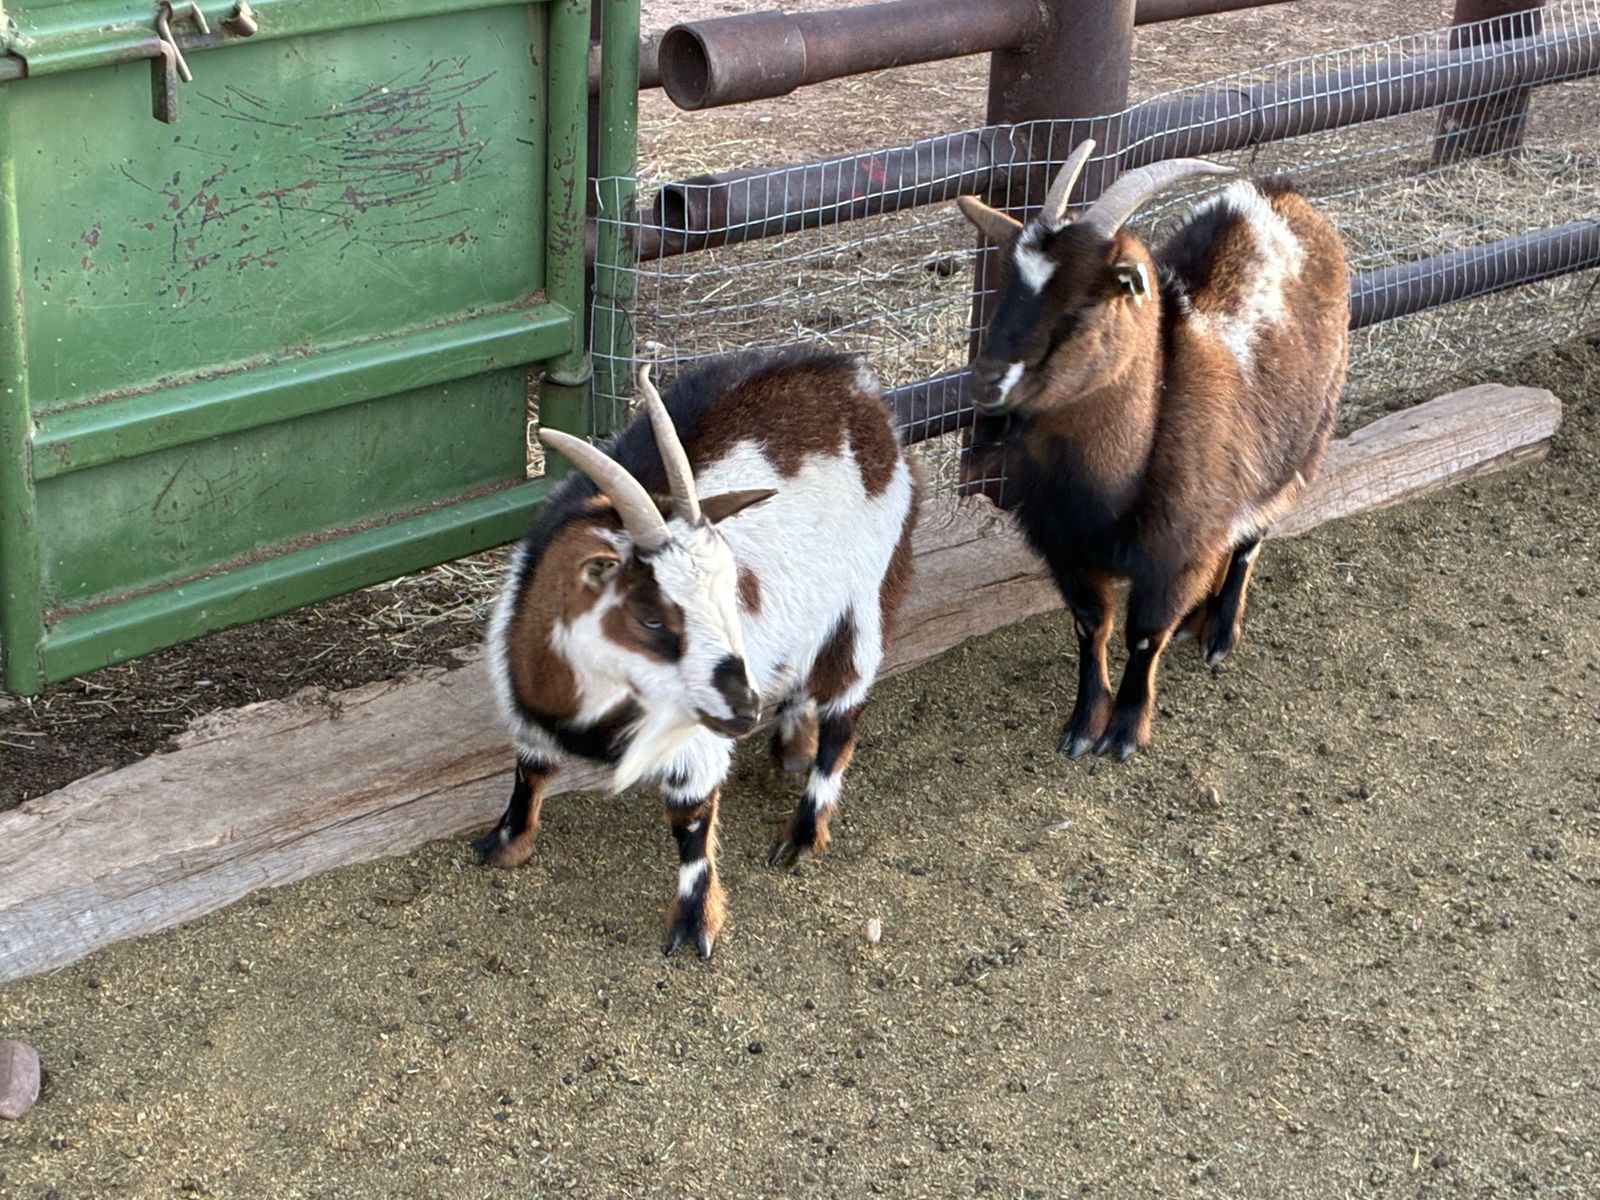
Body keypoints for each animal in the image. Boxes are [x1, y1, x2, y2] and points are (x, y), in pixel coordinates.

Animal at [477, 351, 920, 958]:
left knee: (844, 712)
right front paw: (504, 844)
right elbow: (530, 770)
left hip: (863, 600)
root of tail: (858, 385)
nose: (744, 709)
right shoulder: (528, 712)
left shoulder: (696, 743)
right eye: (650, 616)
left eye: (729, 590)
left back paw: (804, 833)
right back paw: (790, 747)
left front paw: (694, 925)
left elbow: (689, 821)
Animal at [955, 139, 1348, 760]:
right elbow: (1091, 626)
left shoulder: (1174, 549)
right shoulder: (1066, 548)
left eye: (1083, 309)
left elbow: (1144, 635)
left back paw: (1218, 631)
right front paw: (1083, 725)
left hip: (1305, 438)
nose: (987, 384)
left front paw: (1124, 730)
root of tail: (1280, 194)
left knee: (1251, 537)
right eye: (1006, 292)